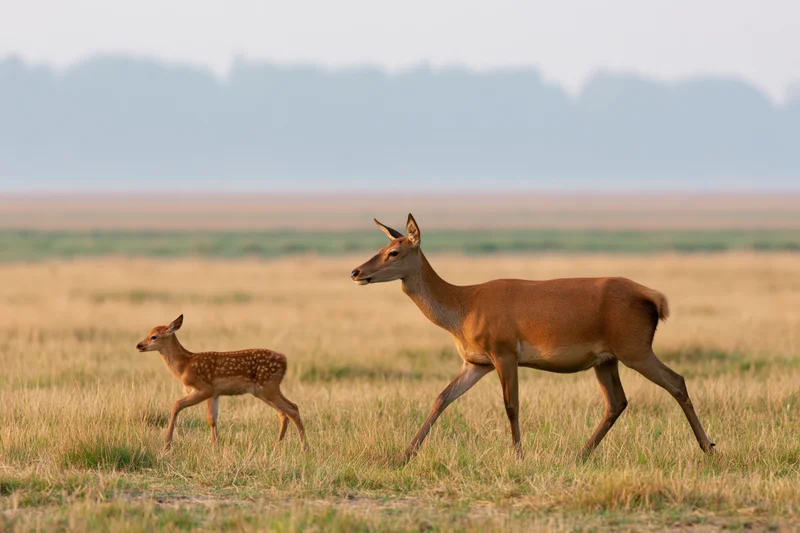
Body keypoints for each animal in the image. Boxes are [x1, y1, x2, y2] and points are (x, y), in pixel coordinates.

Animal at [136, 314, 306, 451]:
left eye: (154, 336)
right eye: (148, 333)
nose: (139, 345)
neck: (184, 365)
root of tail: (285, 360)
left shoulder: (205, 388)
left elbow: (176, 405)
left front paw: (167, 443)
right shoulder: (214, 394)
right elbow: (212, 419)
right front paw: (215, 445)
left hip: (268, 387)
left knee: (292, 410)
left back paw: (304, 448)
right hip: (264, 390)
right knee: (286, 411)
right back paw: (277, 445)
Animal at [350, 214, 715, 462]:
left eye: (395, 252)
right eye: (382, 245)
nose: (356, 272)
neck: (463, 307)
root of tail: (655, 299)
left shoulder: (504, 353)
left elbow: (511, 405)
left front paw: (518, 456)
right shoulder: (475, 362)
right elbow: (442, 397)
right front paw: (404, 454)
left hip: (635, 350)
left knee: (676, 381)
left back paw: (708, 447)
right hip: (607, 360)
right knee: (617, 401)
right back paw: (579, 455)